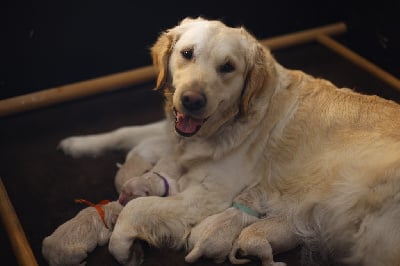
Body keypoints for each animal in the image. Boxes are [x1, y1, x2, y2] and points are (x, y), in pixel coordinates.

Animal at [59, 17, 400, 266]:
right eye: (187, 53)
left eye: (228, 67)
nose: (192, 100)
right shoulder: (175, 130)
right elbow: (125, 131)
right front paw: (77, 143)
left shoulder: (211, 195)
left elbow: (136, 208)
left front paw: (124, 249)